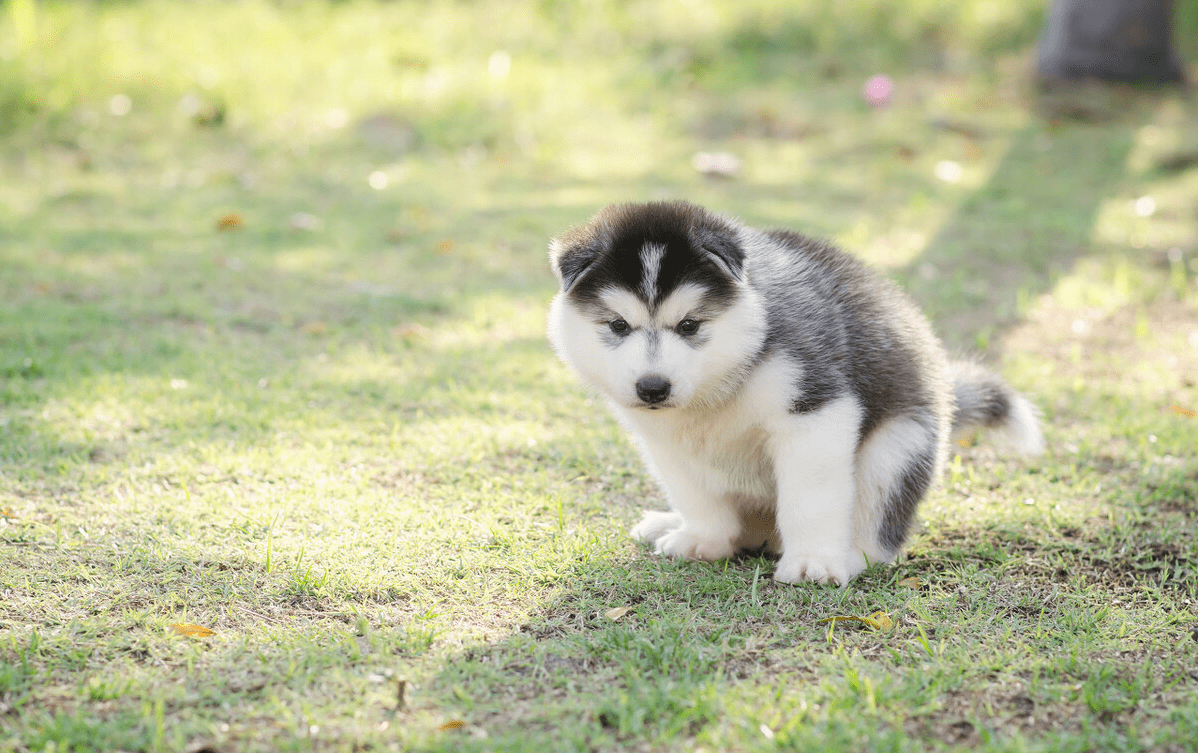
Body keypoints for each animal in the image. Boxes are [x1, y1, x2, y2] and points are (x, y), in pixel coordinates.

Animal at [548, 202, 1044, 584]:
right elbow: (695, 493)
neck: (718, 385)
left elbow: (810, 498)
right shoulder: (664, 440)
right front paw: (704, 538)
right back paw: (672, 523)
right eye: (618, 326)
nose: (653, 387)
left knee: (877, 533)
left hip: (899, 447)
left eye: (689, 325)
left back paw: (849, 557)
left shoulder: (816, 411)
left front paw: (812, 562)